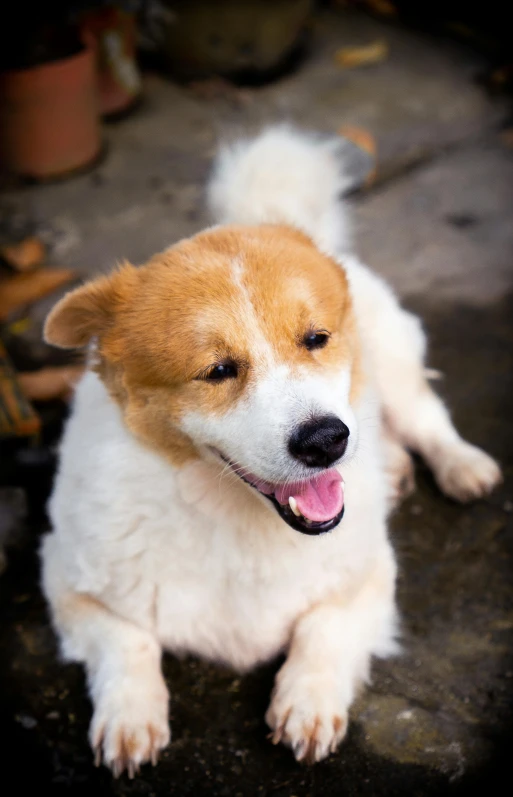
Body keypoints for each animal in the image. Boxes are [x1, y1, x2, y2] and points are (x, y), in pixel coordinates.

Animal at [41, 127, 500, 776]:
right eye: (217, 371)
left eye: (315, 339)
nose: (328, 440)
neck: (233, 519)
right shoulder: (66, 580)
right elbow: (128, 643)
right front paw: (130, 718)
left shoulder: (371, 577)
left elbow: (322, 628)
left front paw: (307, 701)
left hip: (393, 364)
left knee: (425, 416)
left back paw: (458, 464)